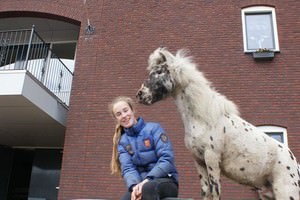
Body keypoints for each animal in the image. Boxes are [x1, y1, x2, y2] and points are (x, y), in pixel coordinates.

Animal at [137, 47, 300, 200]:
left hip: (286, 193)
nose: (140, 94)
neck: (203, 118)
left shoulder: (212, 158)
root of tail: (295, 164)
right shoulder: (199, 162)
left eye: (159, 71)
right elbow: (205, 191)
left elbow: (215, 191)